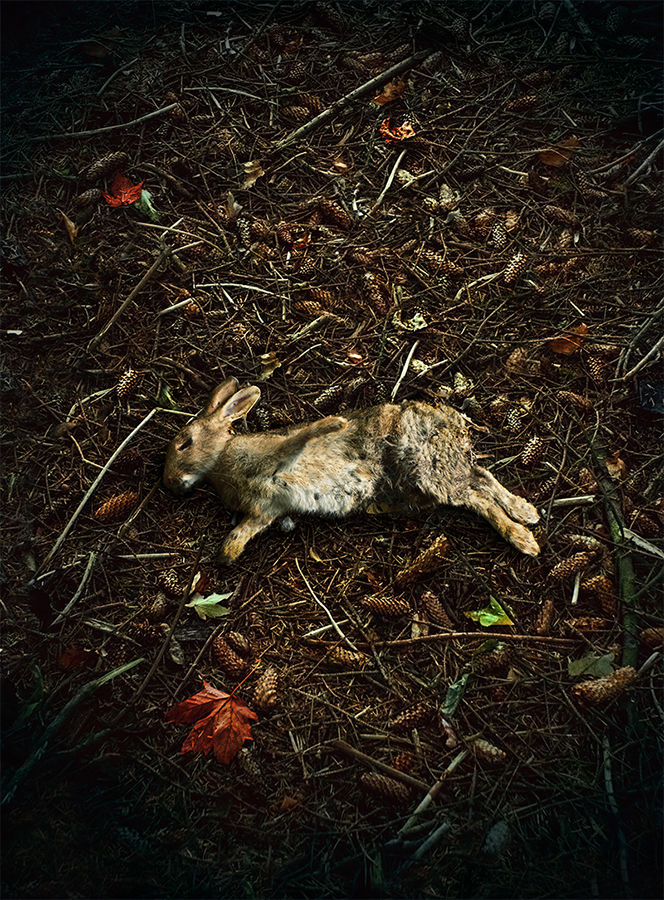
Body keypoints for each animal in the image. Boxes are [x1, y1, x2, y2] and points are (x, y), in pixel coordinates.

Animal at [163, 377, 540, 564]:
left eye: (185, 443)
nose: (169, 483)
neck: (221, 461)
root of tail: (450, 421)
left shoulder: (274, 461)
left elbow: (299, 440)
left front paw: (334, 423)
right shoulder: (265, 510)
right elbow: (241, 534)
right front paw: (226, 556)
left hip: (428, 468)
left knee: (479, 497)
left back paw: (524, 538)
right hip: (435, 473)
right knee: (481, 481)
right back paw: (527, 513)